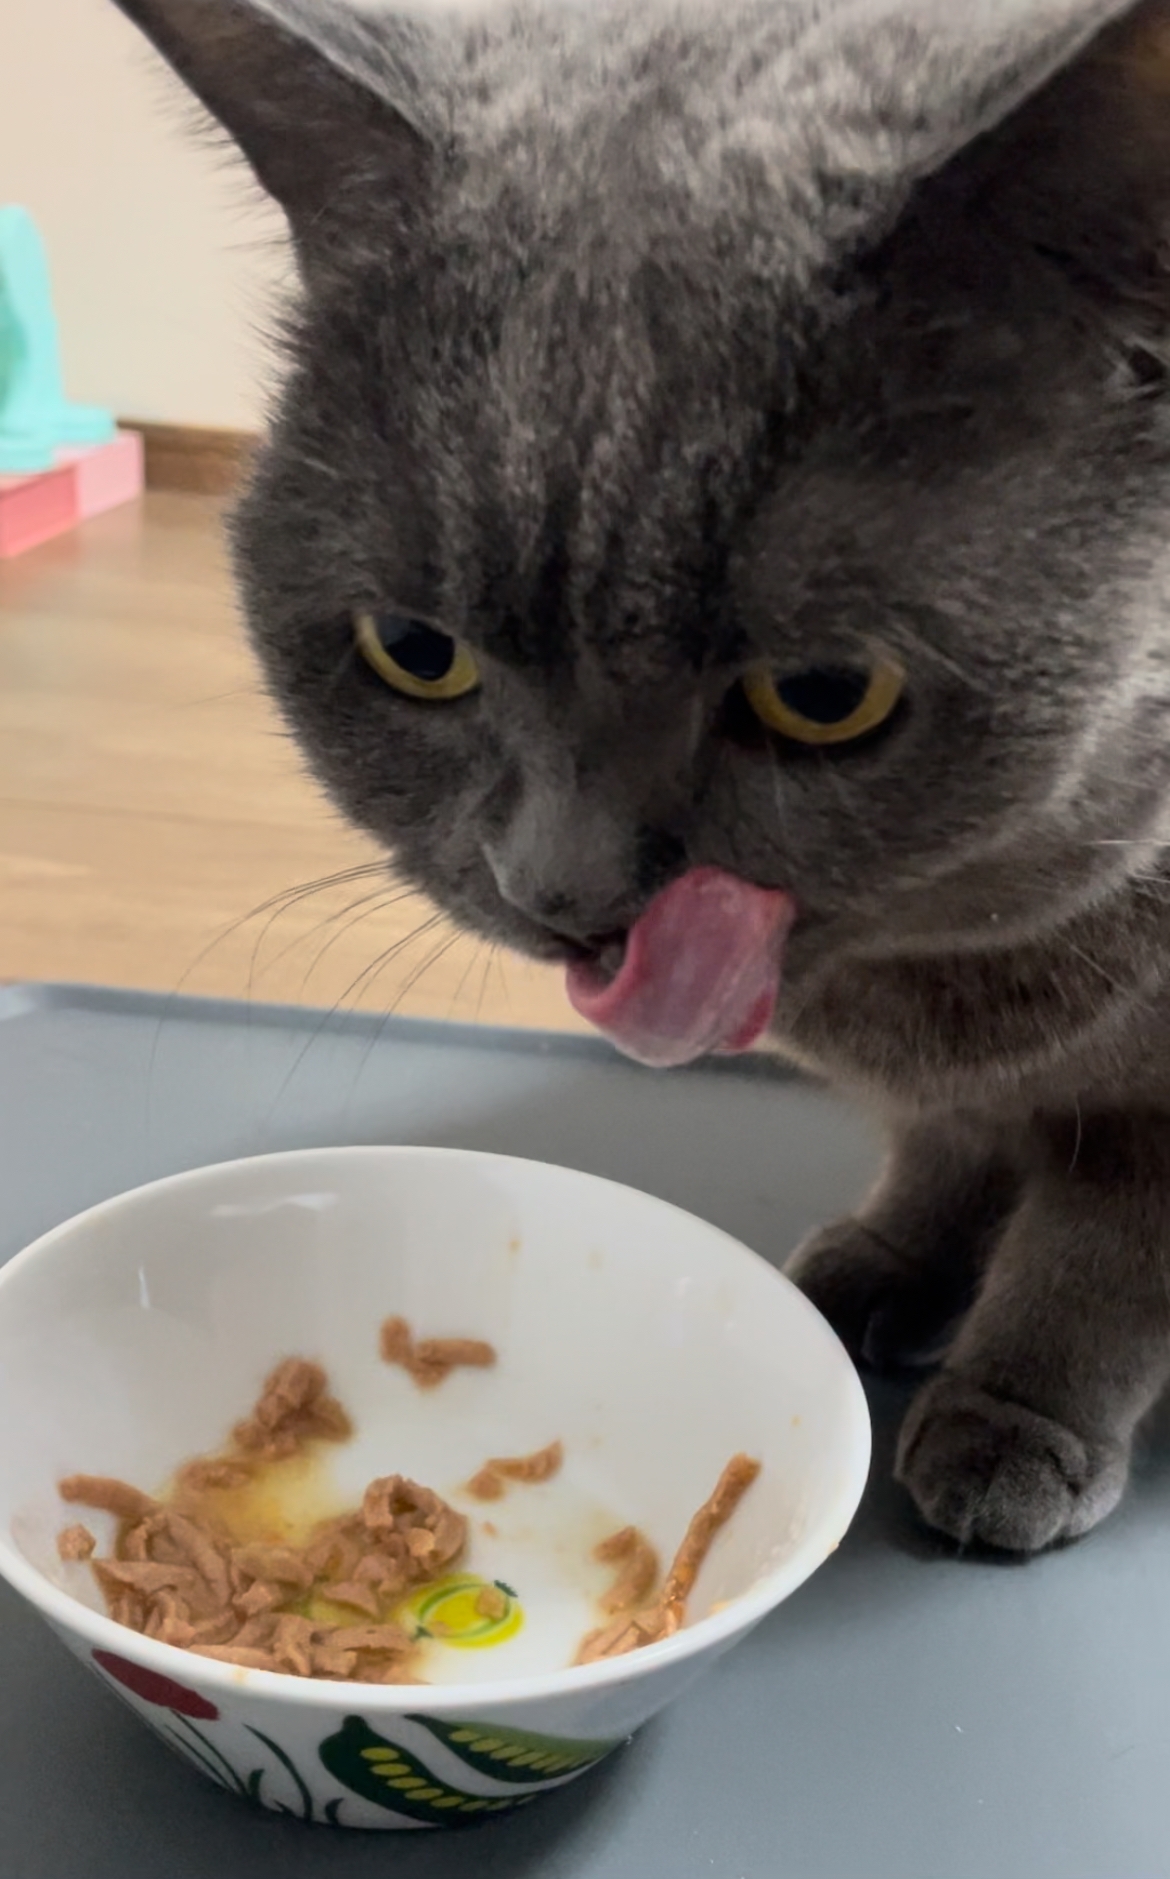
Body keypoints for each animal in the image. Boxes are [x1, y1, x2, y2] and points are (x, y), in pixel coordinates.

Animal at [112, 0, 1170, 1554]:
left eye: (824, 695)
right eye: (414, 652)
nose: (557, 885)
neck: (947, 973)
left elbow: (1104, 1252)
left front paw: (1014, 1414)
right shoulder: (955, 1080)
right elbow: (945, 1143)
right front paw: (884, 1262)